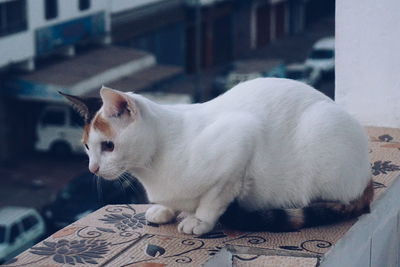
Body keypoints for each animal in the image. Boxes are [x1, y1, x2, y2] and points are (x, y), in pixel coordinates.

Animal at [61, 77, 372, 234]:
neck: (151, 167)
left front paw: (199, 220)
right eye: (87, 147)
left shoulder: (240, 141)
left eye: (108, 146)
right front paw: (166, 209)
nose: (92, 169)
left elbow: (214, 198)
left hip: (321, 131)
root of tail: (368, 176)